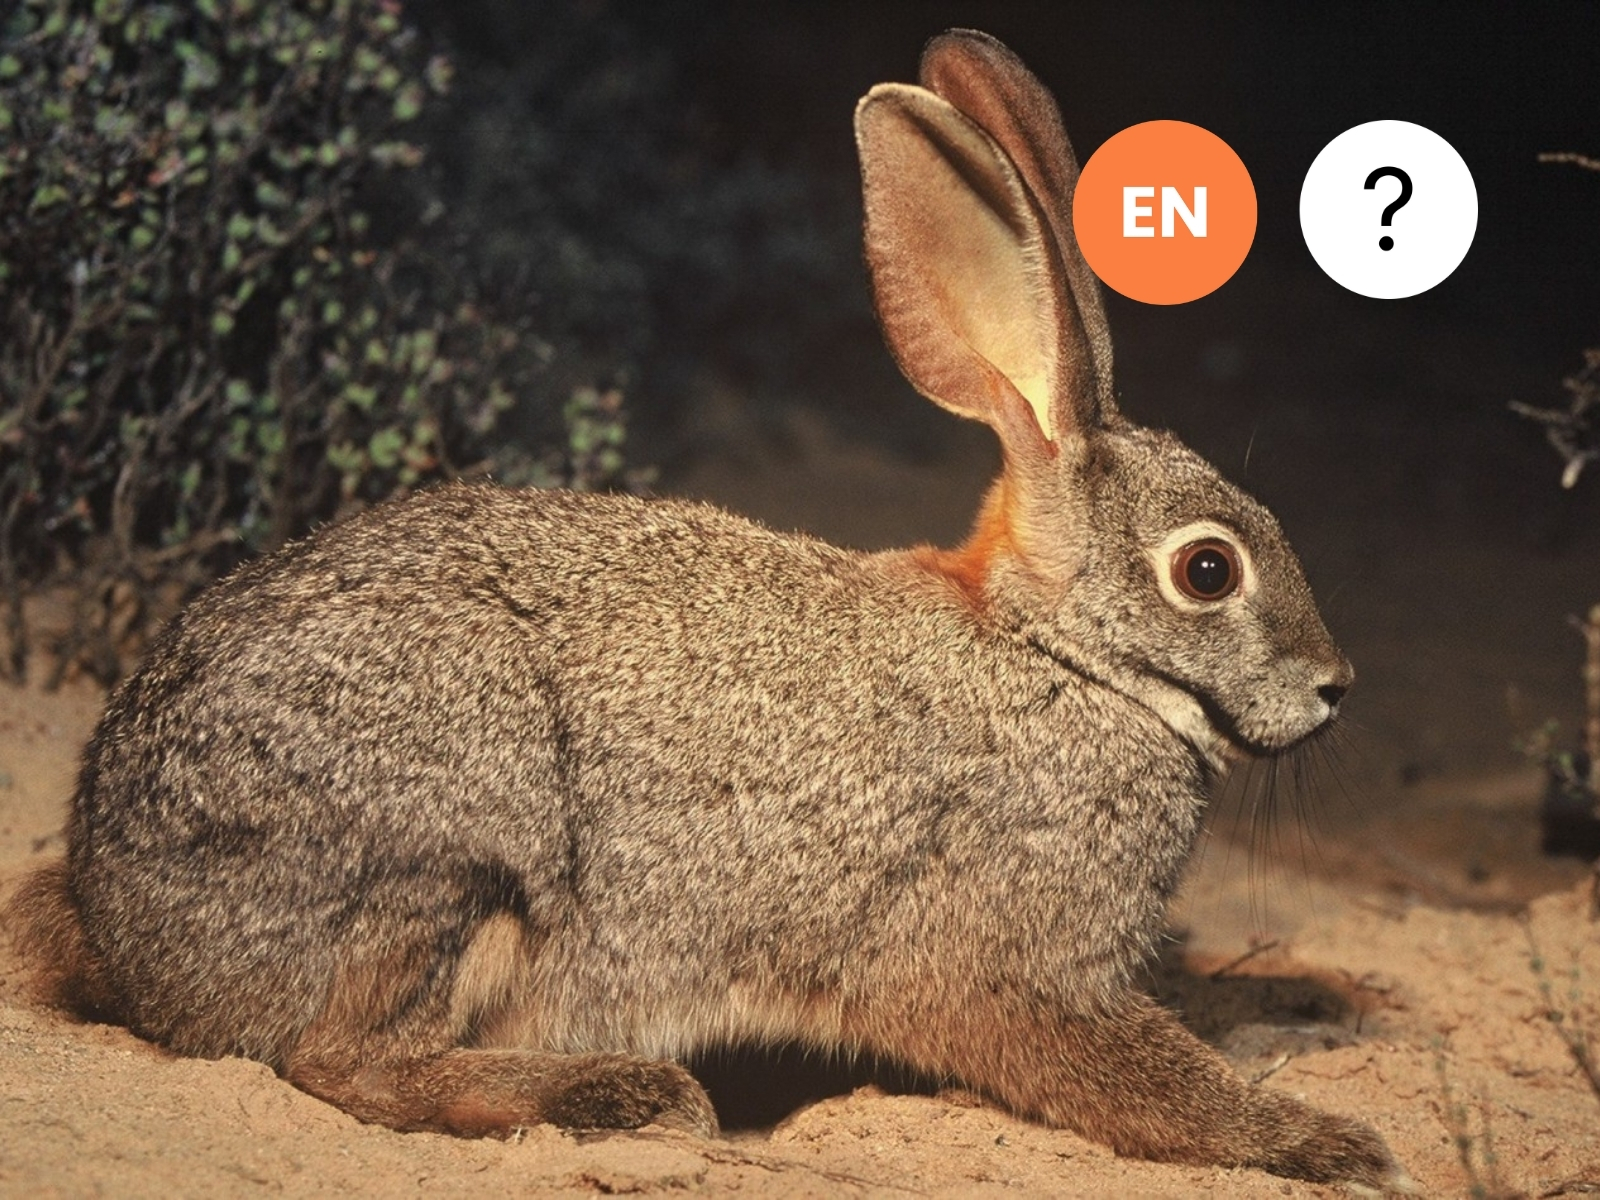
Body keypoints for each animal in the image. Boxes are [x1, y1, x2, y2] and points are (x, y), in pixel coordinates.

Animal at [10, 28, 1400, 1187]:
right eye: (1208, 571)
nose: (1334, 686)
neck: (1060, 657)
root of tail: (123, 927)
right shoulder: (1011, 959)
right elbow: (1151, 1084)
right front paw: (1328, 1141)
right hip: (455, 846)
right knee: (340, 1060)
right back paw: (623, 1097)